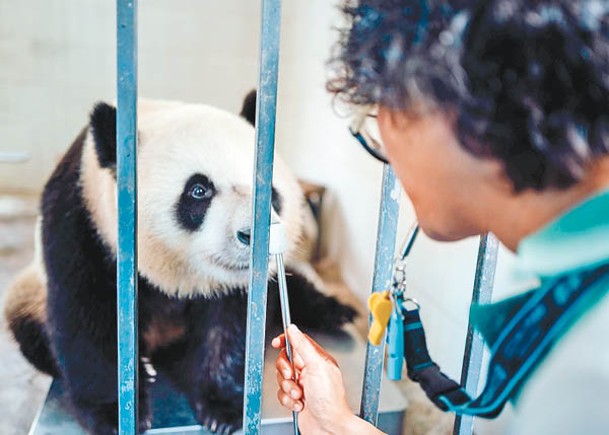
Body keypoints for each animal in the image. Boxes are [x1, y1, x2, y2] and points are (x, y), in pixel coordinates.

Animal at [3, 93, 356, 435]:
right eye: (198, 191)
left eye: (268, 190)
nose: (253, 235)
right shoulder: (81, 224)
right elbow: (86, 314)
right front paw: (116, 413)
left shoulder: (239, 283)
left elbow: (231, 323)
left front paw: (222, 408)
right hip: (30, 294)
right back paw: (144, 365)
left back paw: (336, 311)